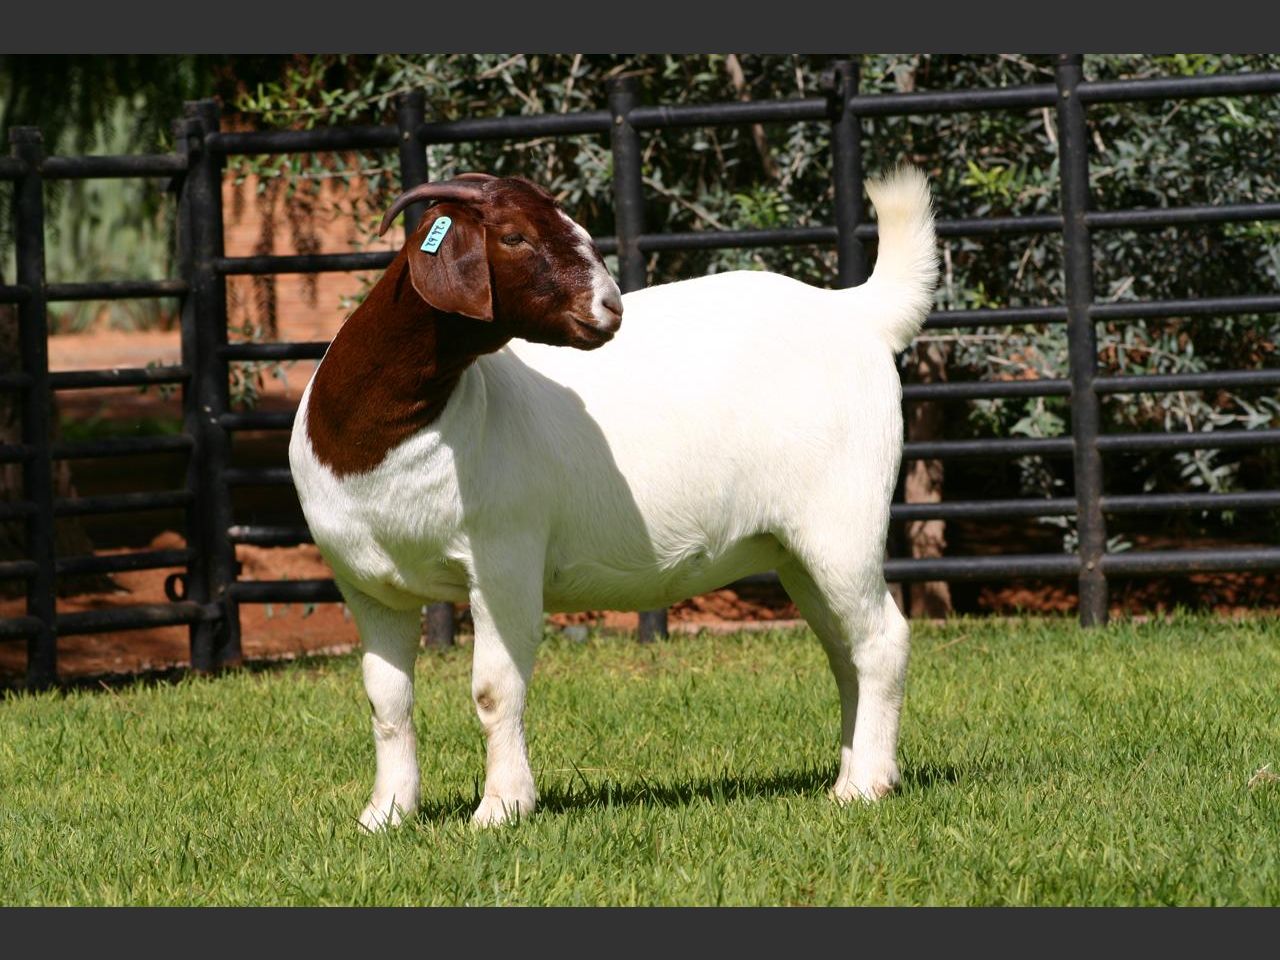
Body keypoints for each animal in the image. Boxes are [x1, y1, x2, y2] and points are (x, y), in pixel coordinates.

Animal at [289, 167, 938, 830]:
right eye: (514, 236)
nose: (610, 307)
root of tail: (855, 312)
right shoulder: (366, 586)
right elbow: (386, 700)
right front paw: (385, 814)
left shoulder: (503, 563)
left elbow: (495, 690)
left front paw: (501, 809)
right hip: (795, 550)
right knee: (844, 652)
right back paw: (849, 778)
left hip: (844, 522)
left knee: (882, 639)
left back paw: (869, 786)